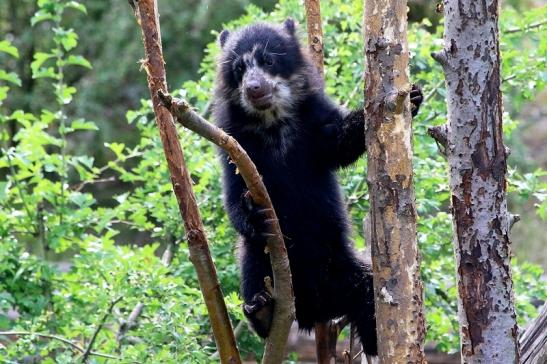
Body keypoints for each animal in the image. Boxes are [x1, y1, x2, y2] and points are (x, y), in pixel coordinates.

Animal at [214, 17, 424, 356]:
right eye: (239, 69)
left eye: (269, 61)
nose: (253, 88)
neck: (273, 122)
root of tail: (313, 310)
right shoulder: (234, 143)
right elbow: (233, 194)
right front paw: (254, 213)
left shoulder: (314, 121)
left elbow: (339, 143)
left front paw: (414, 97)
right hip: (261, 261)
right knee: (252, 263)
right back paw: (262, 311)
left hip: (342, 271)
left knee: (367, 293)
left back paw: (379, 342)